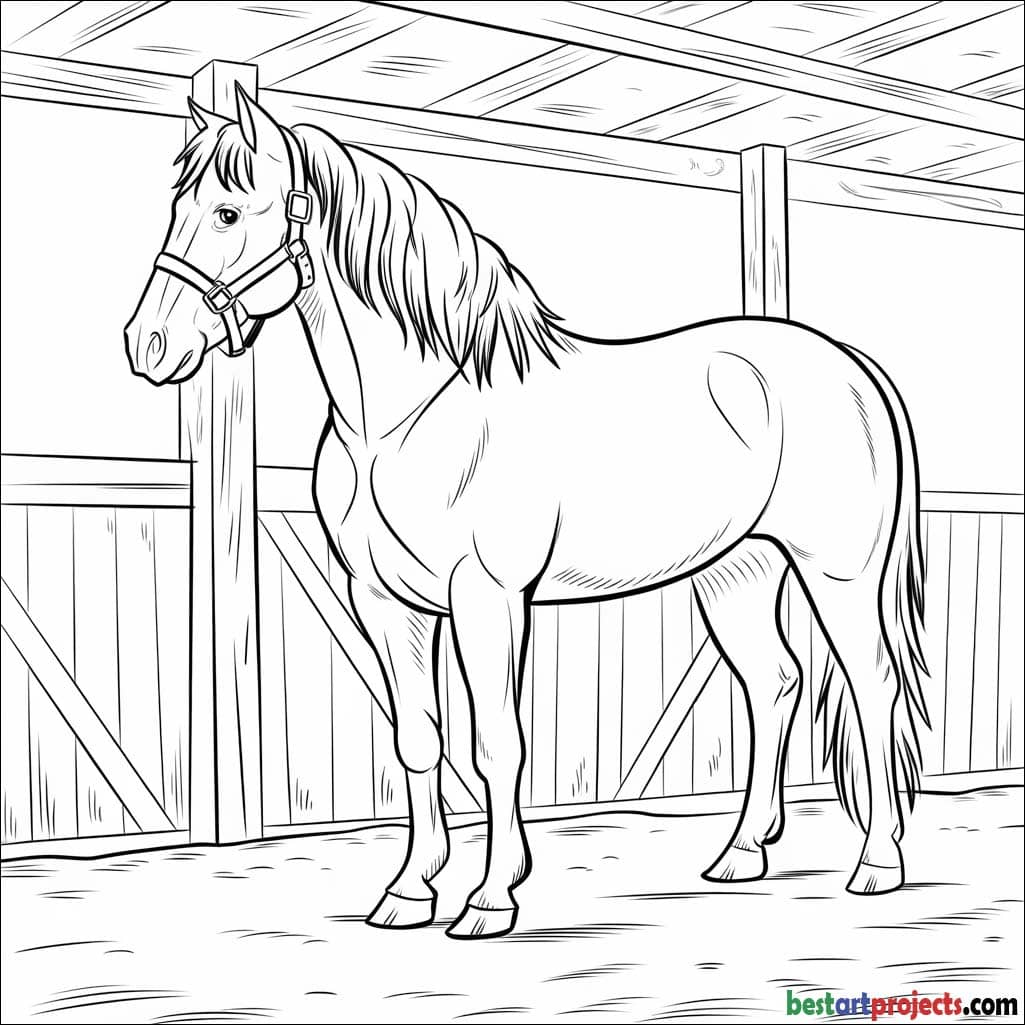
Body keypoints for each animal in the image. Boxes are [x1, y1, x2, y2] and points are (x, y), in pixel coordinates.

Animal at [126, 87, 928, 939]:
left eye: (228, 212)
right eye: (180, 207)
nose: (147, 344)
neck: (401, 418)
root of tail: (851, 365)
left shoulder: (488, 597)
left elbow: (496, 745)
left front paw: (489, 896)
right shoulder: (383, 602)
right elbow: (419, 740)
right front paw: (408, 891)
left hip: (837, 575)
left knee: (871, 686)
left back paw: (876, 863)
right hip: (734, 574)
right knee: (772, 683)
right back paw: (740, 853)